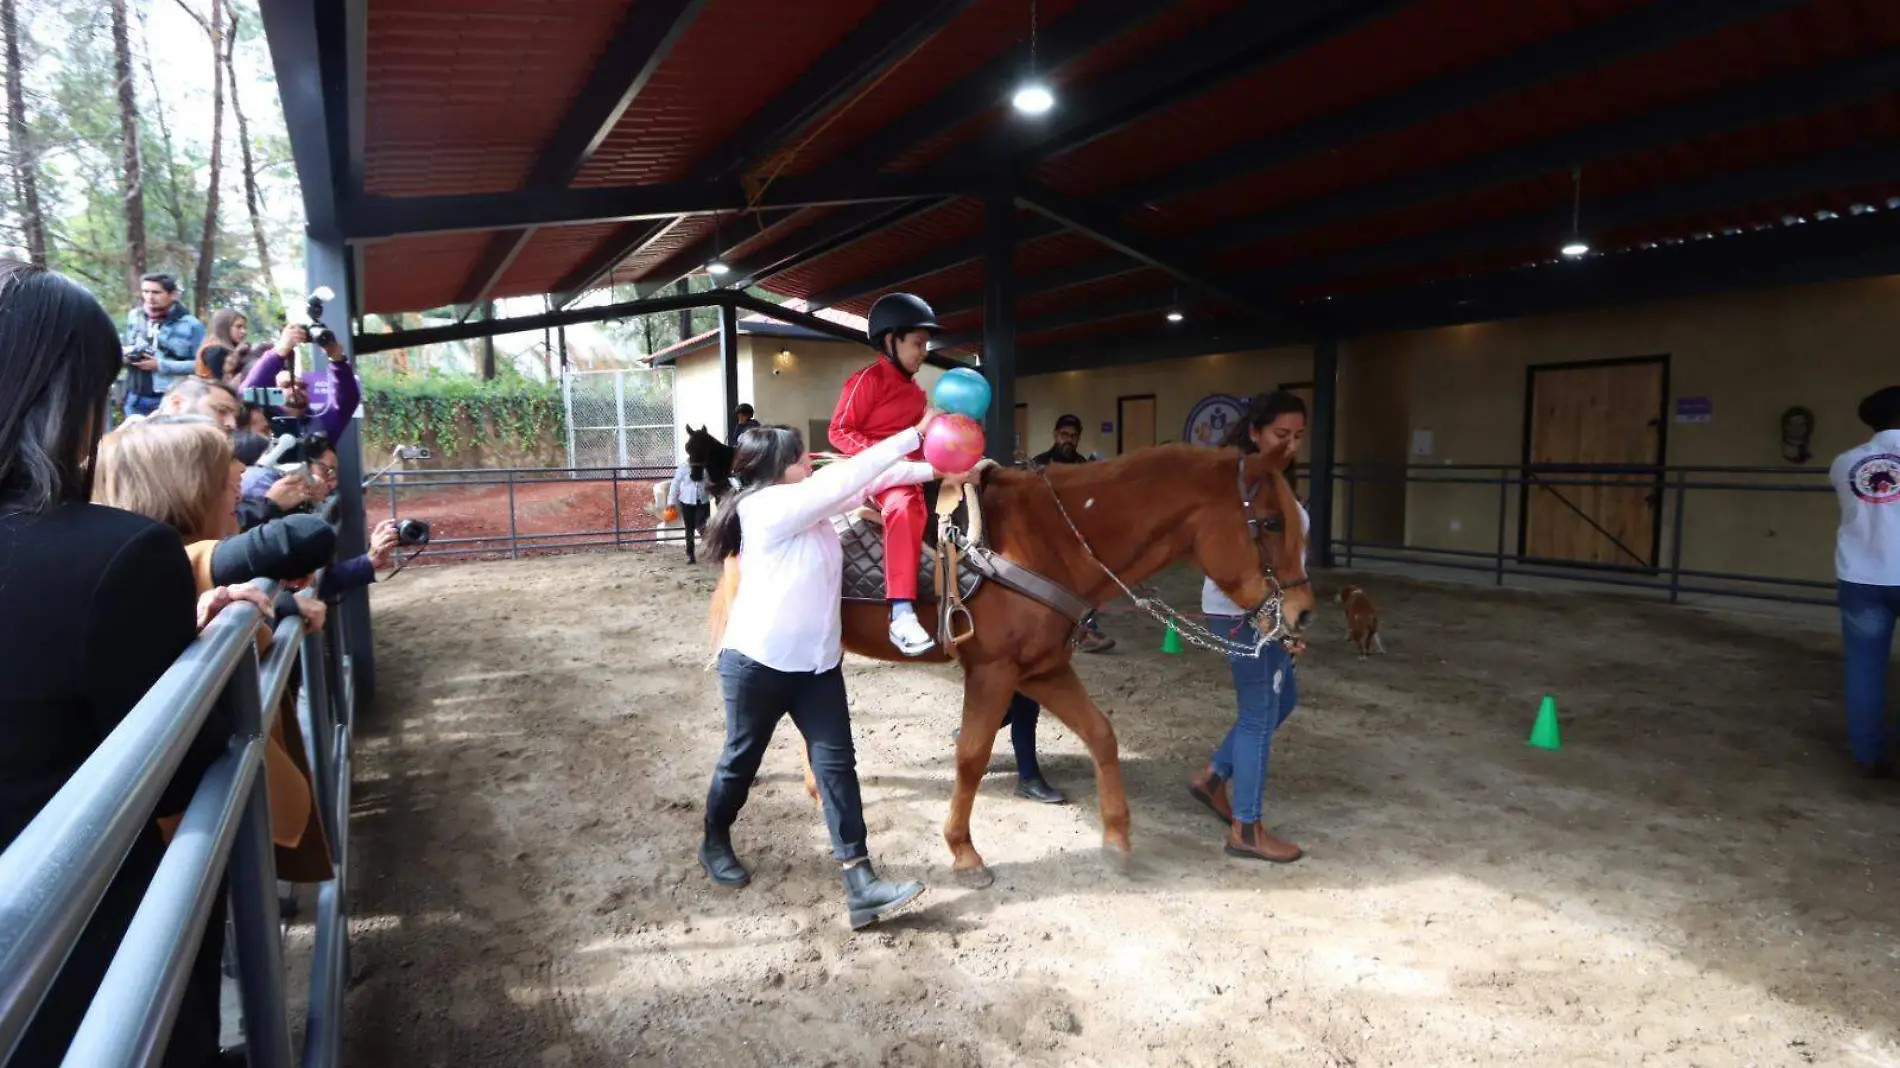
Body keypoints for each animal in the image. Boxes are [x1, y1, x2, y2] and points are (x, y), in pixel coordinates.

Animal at [779, 438, 1314, 881]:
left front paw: (1116, 838)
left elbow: (1101, 734)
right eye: (1272, 522)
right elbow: (971, 755)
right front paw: (963, 851)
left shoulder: (1043, 669)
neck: (1048, 538)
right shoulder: (993, 671)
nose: (1304, 612)